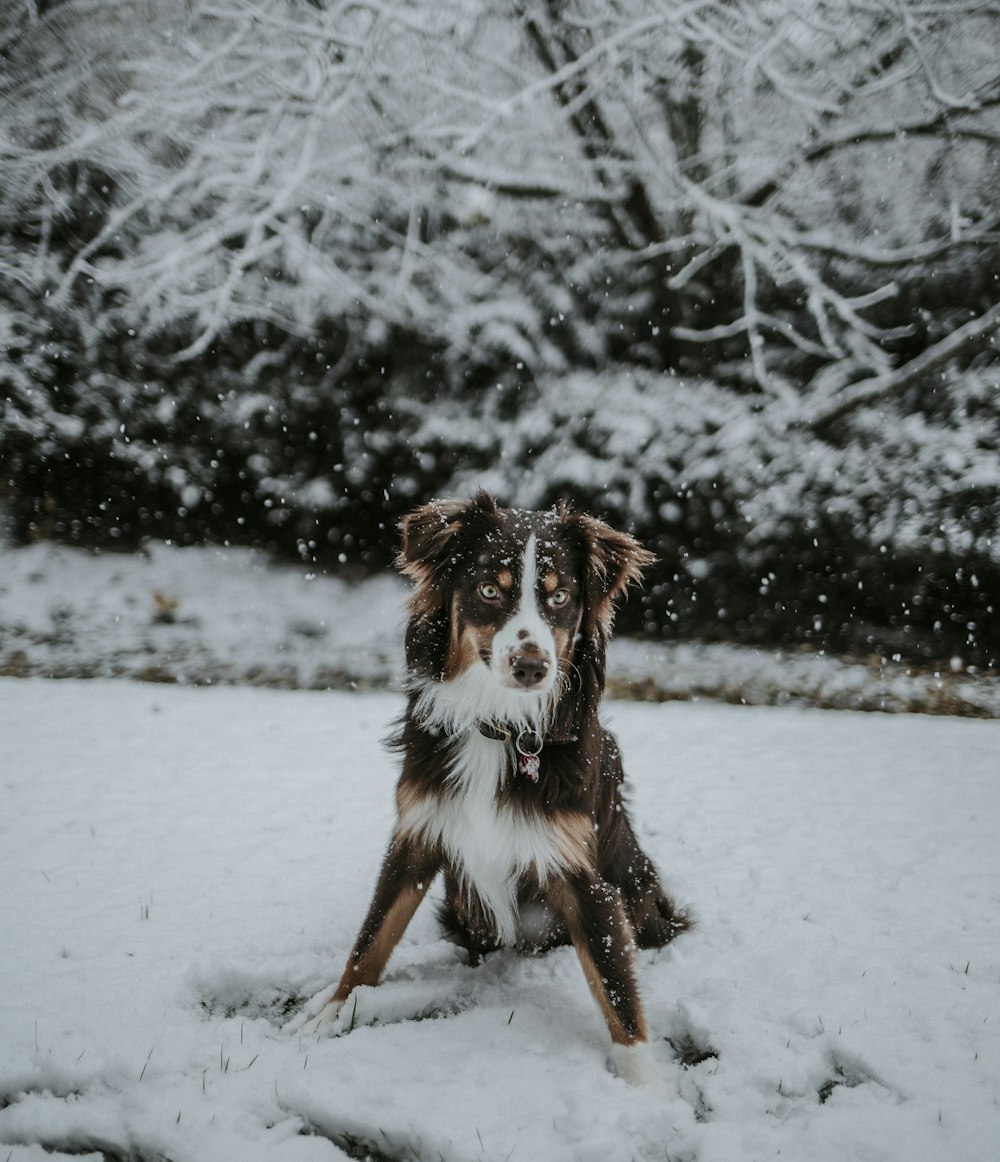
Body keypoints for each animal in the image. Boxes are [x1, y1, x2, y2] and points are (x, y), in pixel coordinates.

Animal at [297, 488, 687, 1078]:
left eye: (560, 596)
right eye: (488, 590)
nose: (532, 667)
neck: (500, 727)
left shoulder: (583, 871)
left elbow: (615, 983)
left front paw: (642, 1080)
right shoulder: (416, 832)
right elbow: (372, 937)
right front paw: (334, 1010)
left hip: (636, 885)